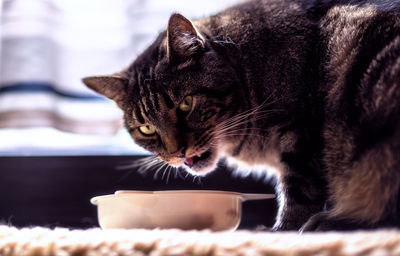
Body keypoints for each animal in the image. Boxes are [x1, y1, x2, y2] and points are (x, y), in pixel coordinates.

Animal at [83, 0, 400, 232]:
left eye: (186, 104)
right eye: (147, 128)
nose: (176, 151)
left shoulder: (300, 134)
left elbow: (299, 194)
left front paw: (282, 233)